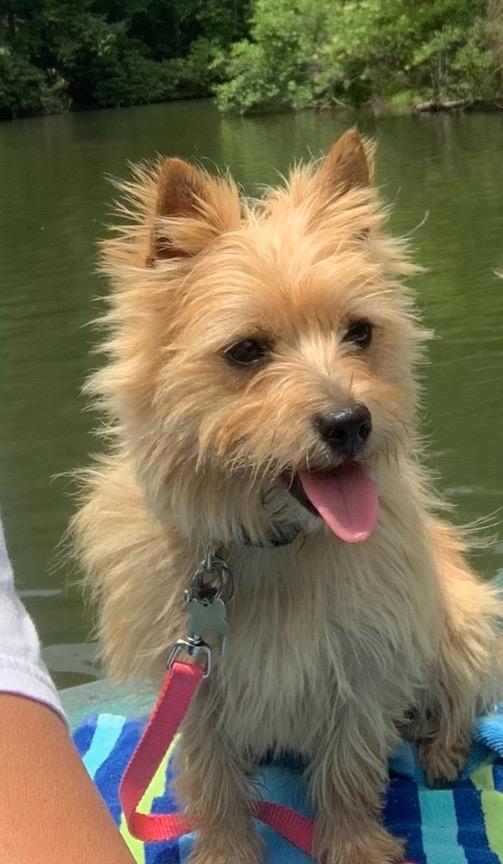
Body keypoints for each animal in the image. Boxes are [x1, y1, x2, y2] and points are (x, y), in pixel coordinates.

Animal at [72, 130, 503, 864]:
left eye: (359, 331)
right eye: (246, 350)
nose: (349, 422)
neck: (270, 545)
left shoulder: (362, 666)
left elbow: (349, 769)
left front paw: (355, 845)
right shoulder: (193, 682)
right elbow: (212, 778)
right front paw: (224, 850)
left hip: (462, 619)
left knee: (460, 697)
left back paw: (442, 751)